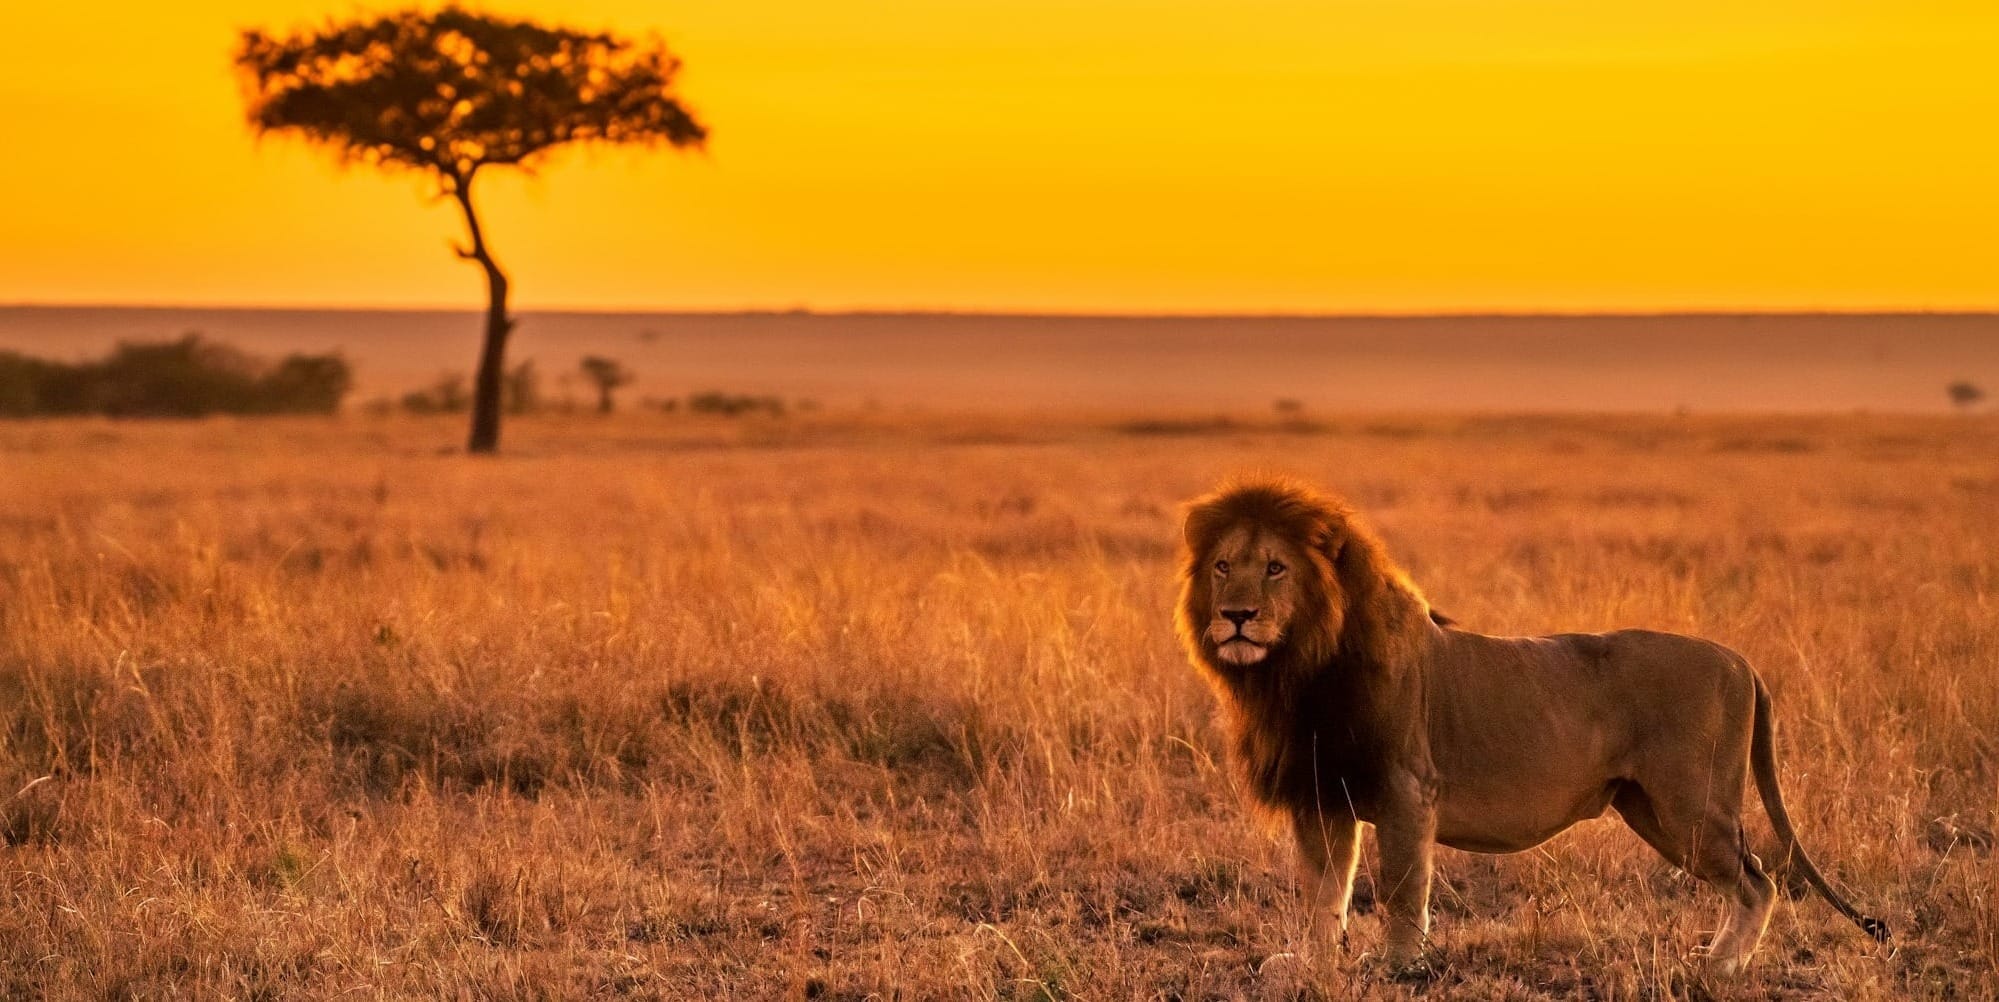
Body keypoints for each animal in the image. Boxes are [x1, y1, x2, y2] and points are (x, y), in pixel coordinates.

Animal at [1174, 478, 1888, 975]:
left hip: (1691, 803)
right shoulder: (1322, 794)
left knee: (1757, 880)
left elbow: (1402, 887)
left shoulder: (1407, 789)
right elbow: (1324, 889)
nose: (1236, 616)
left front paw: (1400, 966)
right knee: (1750, 877)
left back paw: (1721, 967)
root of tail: (1738, 659)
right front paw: (1315, 962)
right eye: (1223, 566)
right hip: (1651, 810)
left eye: (1275, 568)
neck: (1297, 670)